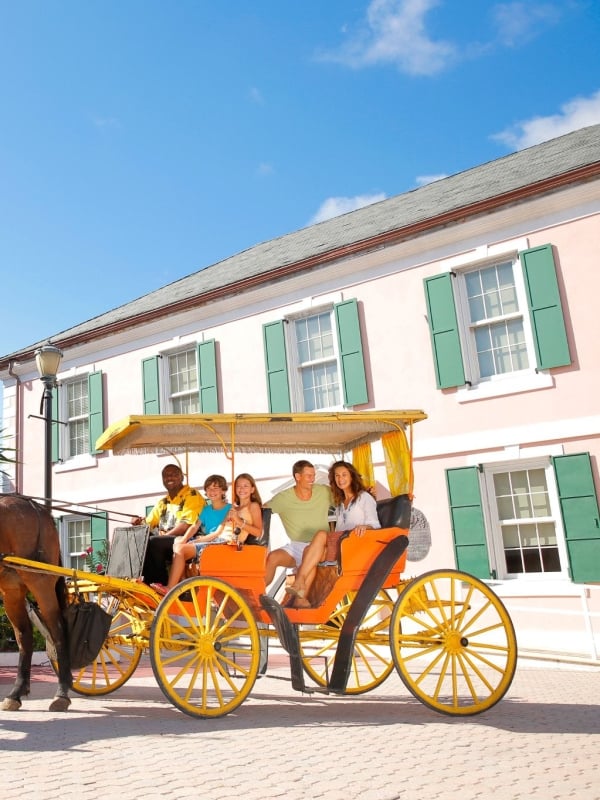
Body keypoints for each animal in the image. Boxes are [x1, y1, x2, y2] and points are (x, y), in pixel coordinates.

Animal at [0, 494, 71, 712]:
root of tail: (38, 508)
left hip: (40, 582)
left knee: (58, 630)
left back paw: (62, 693)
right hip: (12, 591)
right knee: (25, 636)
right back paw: (16, 693)